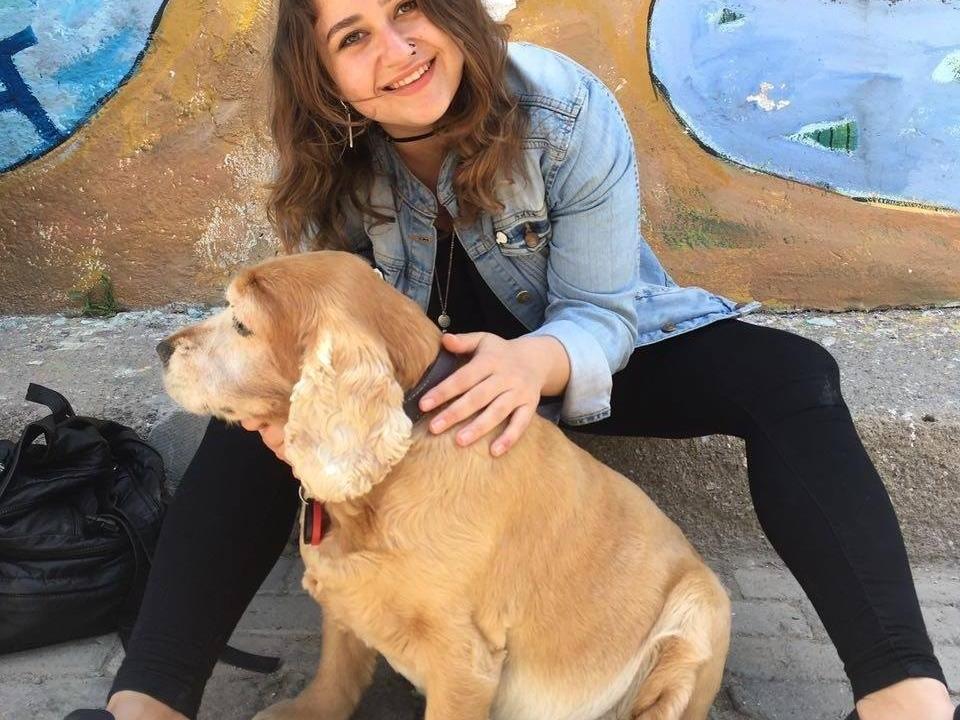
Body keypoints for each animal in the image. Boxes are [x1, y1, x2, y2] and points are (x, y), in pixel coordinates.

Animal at [157, 250, 730, 720]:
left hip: (697, 613)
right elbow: (336, 673)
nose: (162, 347)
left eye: (240, 323)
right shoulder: (345, 591)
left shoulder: (465, 661)